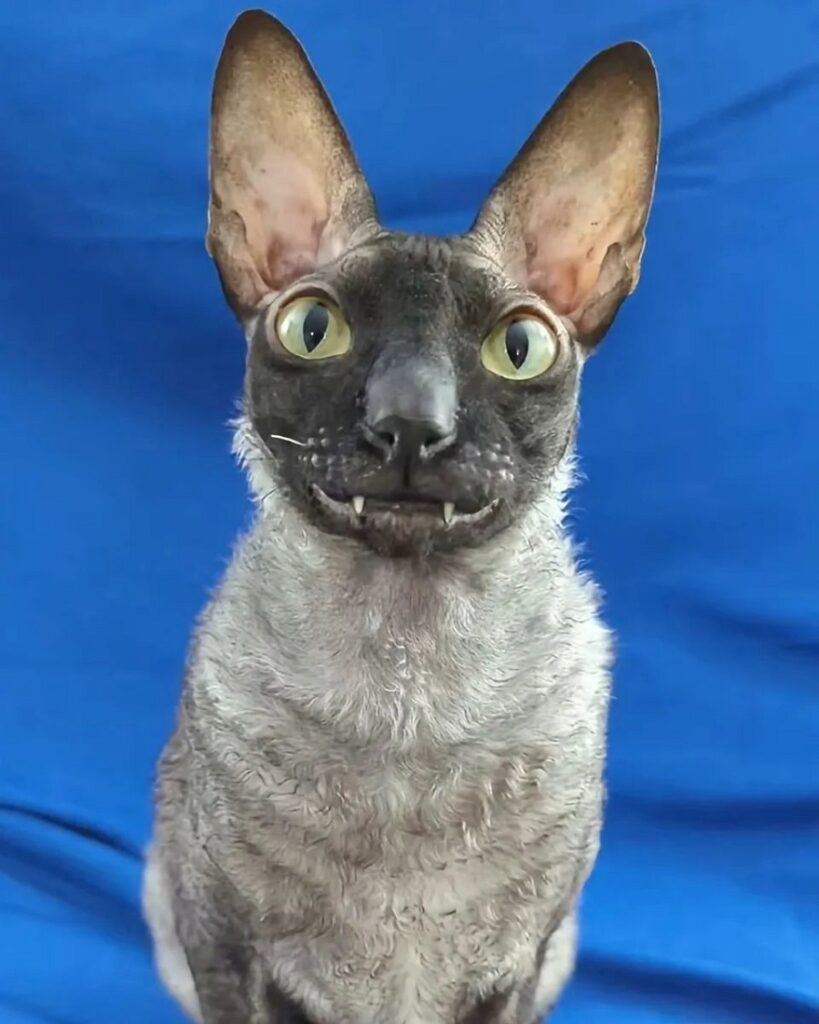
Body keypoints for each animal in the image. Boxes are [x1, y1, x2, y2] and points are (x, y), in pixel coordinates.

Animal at [144, 9, 663, 1024]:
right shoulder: (220, 943)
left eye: (518, 346)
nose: (411, 423)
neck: (407, 702)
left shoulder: (516, 964)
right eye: (313, 329)